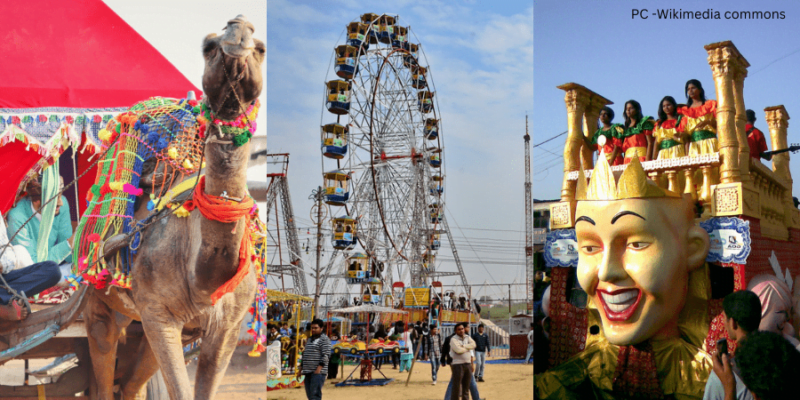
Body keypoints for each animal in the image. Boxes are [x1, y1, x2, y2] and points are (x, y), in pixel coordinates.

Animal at [83, 15, 268, 400]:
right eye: (208, 47)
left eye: (260, 49)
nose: (239, 26)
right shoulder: (158, 314)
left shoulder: (226, 327)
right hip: (102, 305)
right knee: (105, 365)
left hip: (145, 325)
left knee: (130, 384)